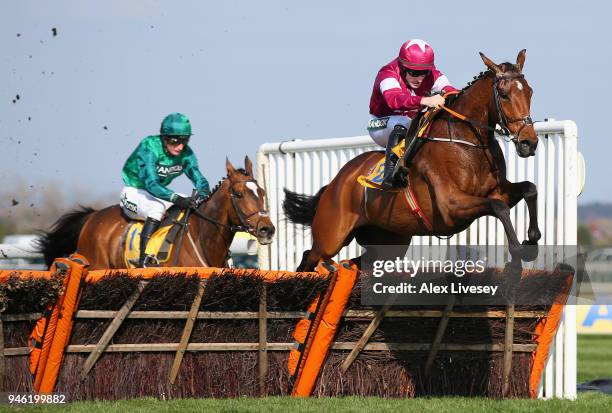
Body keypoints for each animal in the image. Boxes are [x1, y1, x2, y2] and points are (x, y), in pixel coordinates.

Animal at [284, 50, 540, 272]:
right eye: (504, 95)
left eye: (530, 92)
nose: (529, 142)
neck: (467, 144)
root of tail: (336, 183)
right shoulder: (451, 206)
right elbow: (499, 207)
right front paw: (520, 249)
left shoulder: (498, 190)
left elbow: (529, 189)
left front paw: (532, 240)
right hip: (331, 237)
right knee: (309, 257)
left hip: (388, 240)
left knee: (362, 260)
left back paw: (344, 266)